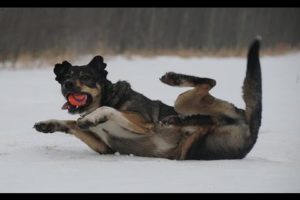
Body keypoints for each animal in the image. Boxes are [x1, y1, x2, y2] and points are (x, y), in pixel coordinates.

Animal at [34, 39, 262, 160]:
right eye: (65, 77)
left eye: (85, 77)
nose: (68, 85)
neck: (109, 97)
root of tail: (251, 127)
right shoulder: (104, 148)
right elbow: (71, 123)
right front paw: (48, 124)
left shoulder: (143, 125)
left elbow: (109, 111)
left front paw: (93, 117)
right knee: (205, 109)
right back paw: (175, 120)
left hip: (182, 102)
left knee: (210, 82)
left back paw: (173, 79)